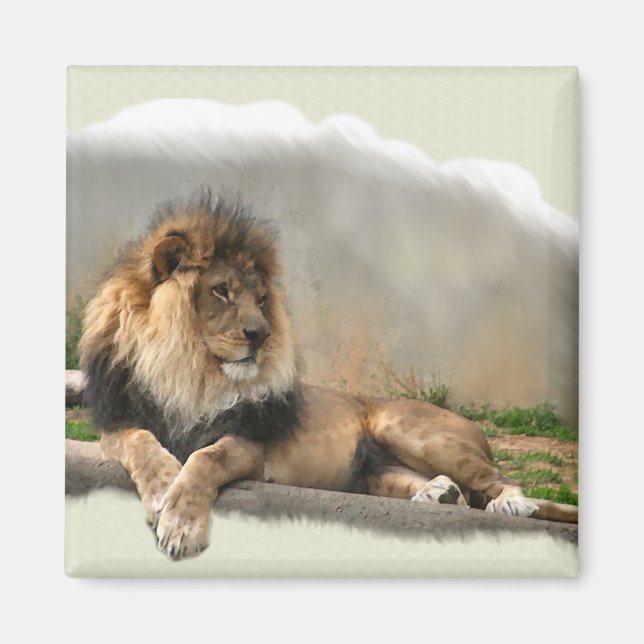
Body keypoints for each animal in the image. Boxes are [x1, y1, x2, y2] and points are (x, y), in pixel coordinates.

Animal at [79, 195, 578, 560]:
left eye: (261, 299)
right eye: (221, 291)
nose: (261, 334)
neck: (188, 371)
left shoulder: (249, 441)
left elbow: (205, 459)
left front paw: (181, 524)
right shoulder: (117, 422)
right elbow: (140, 443)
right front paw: (162, 485)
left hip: (411, 430)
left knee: (499, 479)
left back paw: (510, 503)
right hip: (374, 472)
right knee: (430, 485)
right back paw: (435, 495)